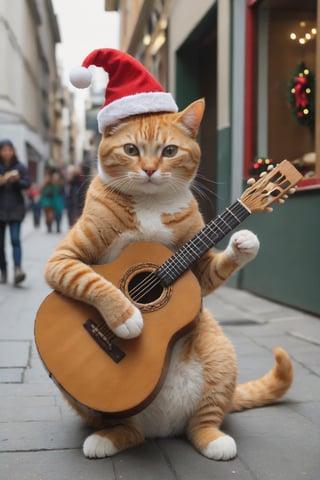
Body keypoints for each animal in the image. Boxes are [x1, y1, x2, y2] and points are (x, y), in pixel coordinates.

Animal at [44, 98, 292, 462]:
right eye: (131, 150)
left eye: (170, 151)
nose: (149, 170)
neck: (151, 201)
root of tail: (160, 428)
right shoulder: (61, 260)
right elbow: (91, 280)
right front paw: (127, 317)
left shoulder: (197, 271)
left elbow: (214, 269)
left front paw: (244, 242)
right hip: (79, 396)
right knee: (128, 431)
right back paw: (106, 439)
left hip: (219, 357)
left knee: (201, 424)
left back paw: (214, 441)